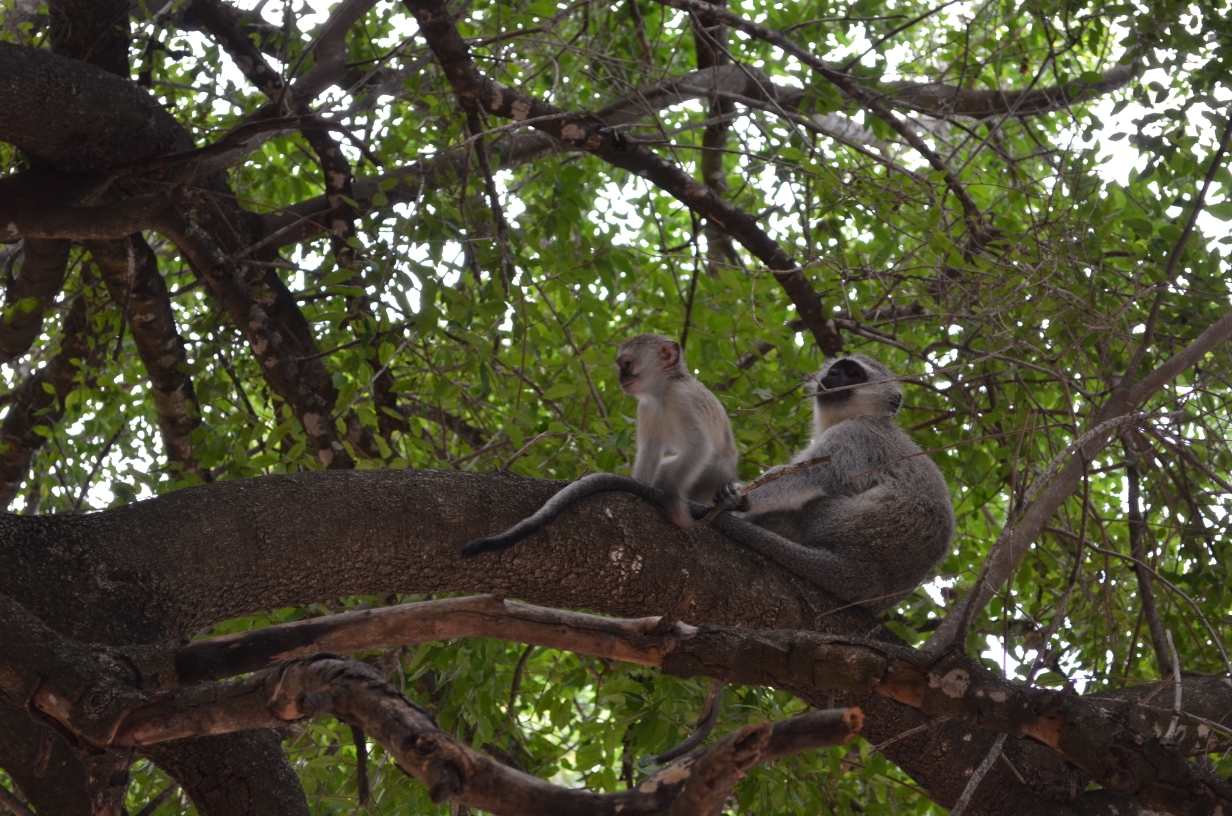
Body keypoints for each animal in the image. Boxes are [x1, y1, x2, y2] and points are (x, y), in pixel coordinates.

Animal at [458, 335, 734, 559]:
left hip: (714, 474)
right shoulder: (645, 408)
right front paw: (641, 488)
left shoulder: (681, 399)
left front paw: (673, 500)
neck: (662, 393)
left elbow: (700, 446)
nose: (621, 378)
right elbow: (650, 452)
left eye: (627, 364)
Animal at [714, 354, 951, 611]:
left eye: (855, 374)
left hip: (833, 521)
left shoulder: (856, 434)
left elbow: (811, 475)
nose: (834, 375)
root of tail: (868, 574)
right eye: (838, 368)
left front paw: (740, 497)